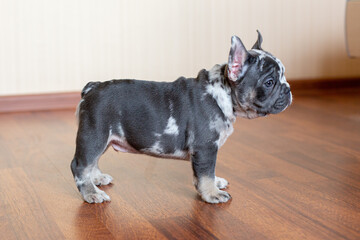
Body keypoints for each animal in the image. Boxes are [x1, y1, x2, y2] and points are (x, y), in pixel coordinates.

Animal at [71, 31, 292, 204]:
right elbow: (205, 174)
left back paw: (97, 179)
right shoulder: (206, 148)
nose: (288, 89)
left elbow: (207, 173)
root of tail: (92, 88)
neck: (224, 93)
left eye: (284, 76)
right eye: (270, 82)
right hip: (94, 135)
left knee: (92, 162)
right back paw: (91, 193)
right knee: (80, 166)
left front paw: (216, 183)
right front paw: (212, 193)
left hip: (103, 139)